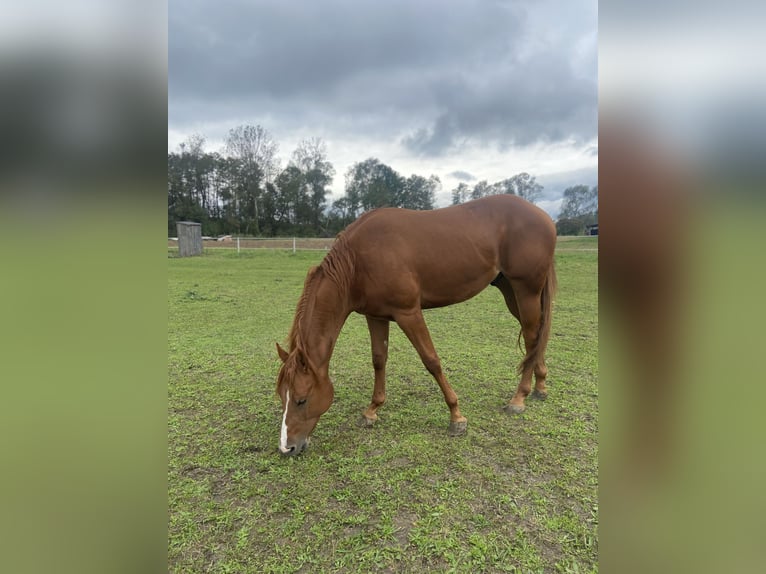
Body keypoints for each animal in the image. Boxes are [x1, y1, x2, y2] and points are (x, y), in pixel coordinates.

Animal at [276, 196, 560, 456]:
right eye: (282, 396)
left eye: (301, 400)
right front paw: (372, 411)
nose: (287, 447)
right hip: (511, 290)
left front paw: (456, 417)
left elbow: (431, 361)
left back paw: (519, 398)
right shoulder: (375, 317)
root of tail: (543, 216)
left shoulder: (409, 314)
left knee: (532, 336)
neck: (357, 262)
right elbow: (379, 360)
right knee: (536, 336)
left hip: (526, 290)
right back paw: (540, 386)